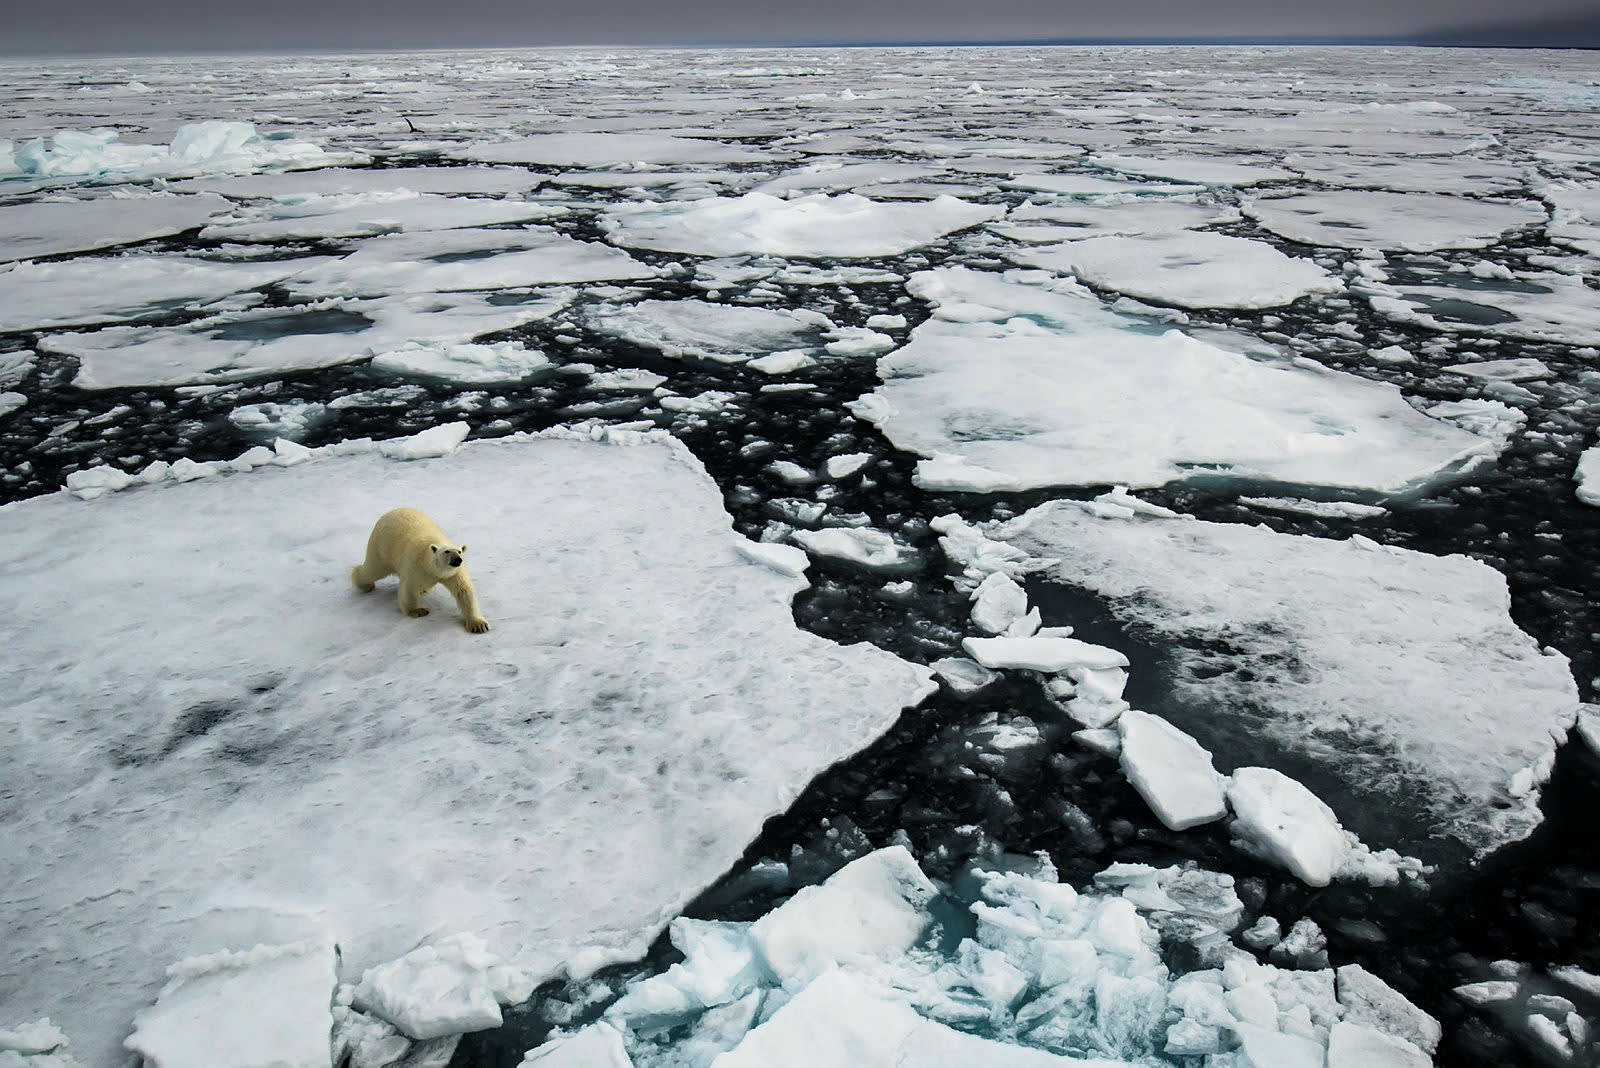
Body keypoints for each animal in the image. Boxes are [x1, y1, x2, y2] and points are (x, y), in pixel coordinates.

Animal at [353, 508, 489, 633]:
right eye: (447, 551)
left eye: (459, 551)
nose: (458, 560)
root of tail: (389, 513)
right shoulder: (415, 565)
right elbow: (409, 588)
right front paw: (418, 611)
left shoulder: (453, 573)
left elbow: (463, 591)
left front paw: (479, 625)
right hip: (381, 547)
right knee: (373, 570)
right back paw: (365, 585)